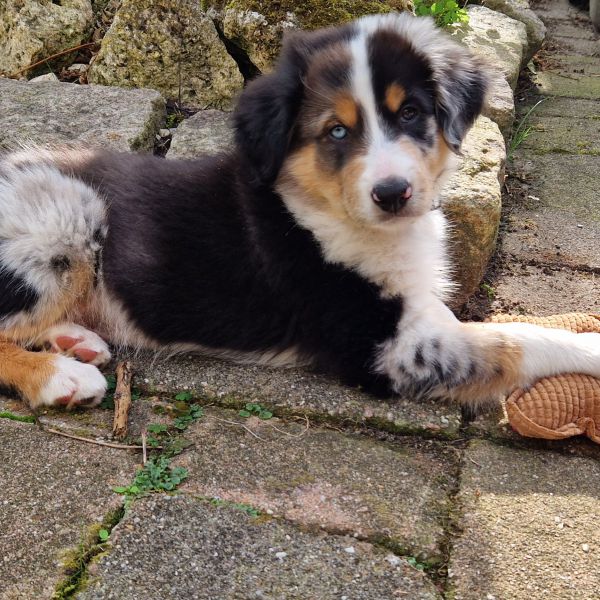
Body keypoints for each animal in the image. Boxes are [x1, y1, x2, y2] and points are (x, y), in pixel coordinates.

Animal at [1, 12, 600, 412]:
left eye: (410, 113)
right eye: (335, 131)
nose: (393, 193)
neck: (323, 210)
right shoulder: (382, 345)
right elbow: (513, 338)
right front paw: (588, 346)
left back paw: (76, 340)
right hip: (69, 215)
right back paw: (60, 376)